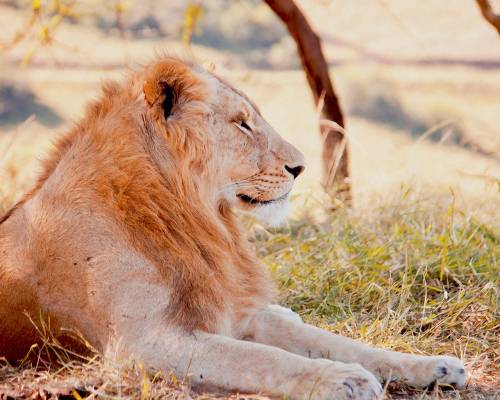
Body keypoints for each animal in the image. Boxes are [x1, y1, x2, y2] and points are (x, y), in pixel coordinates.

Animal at [0, 57, 468, 400]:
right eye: (242, 123)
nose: (301, 167)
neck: (194, 217)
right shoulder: (142, 345)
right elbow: (265, 360)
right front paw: (344, 379)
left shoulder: (239, 315)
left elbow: (339, 343)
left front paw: (433, 366)